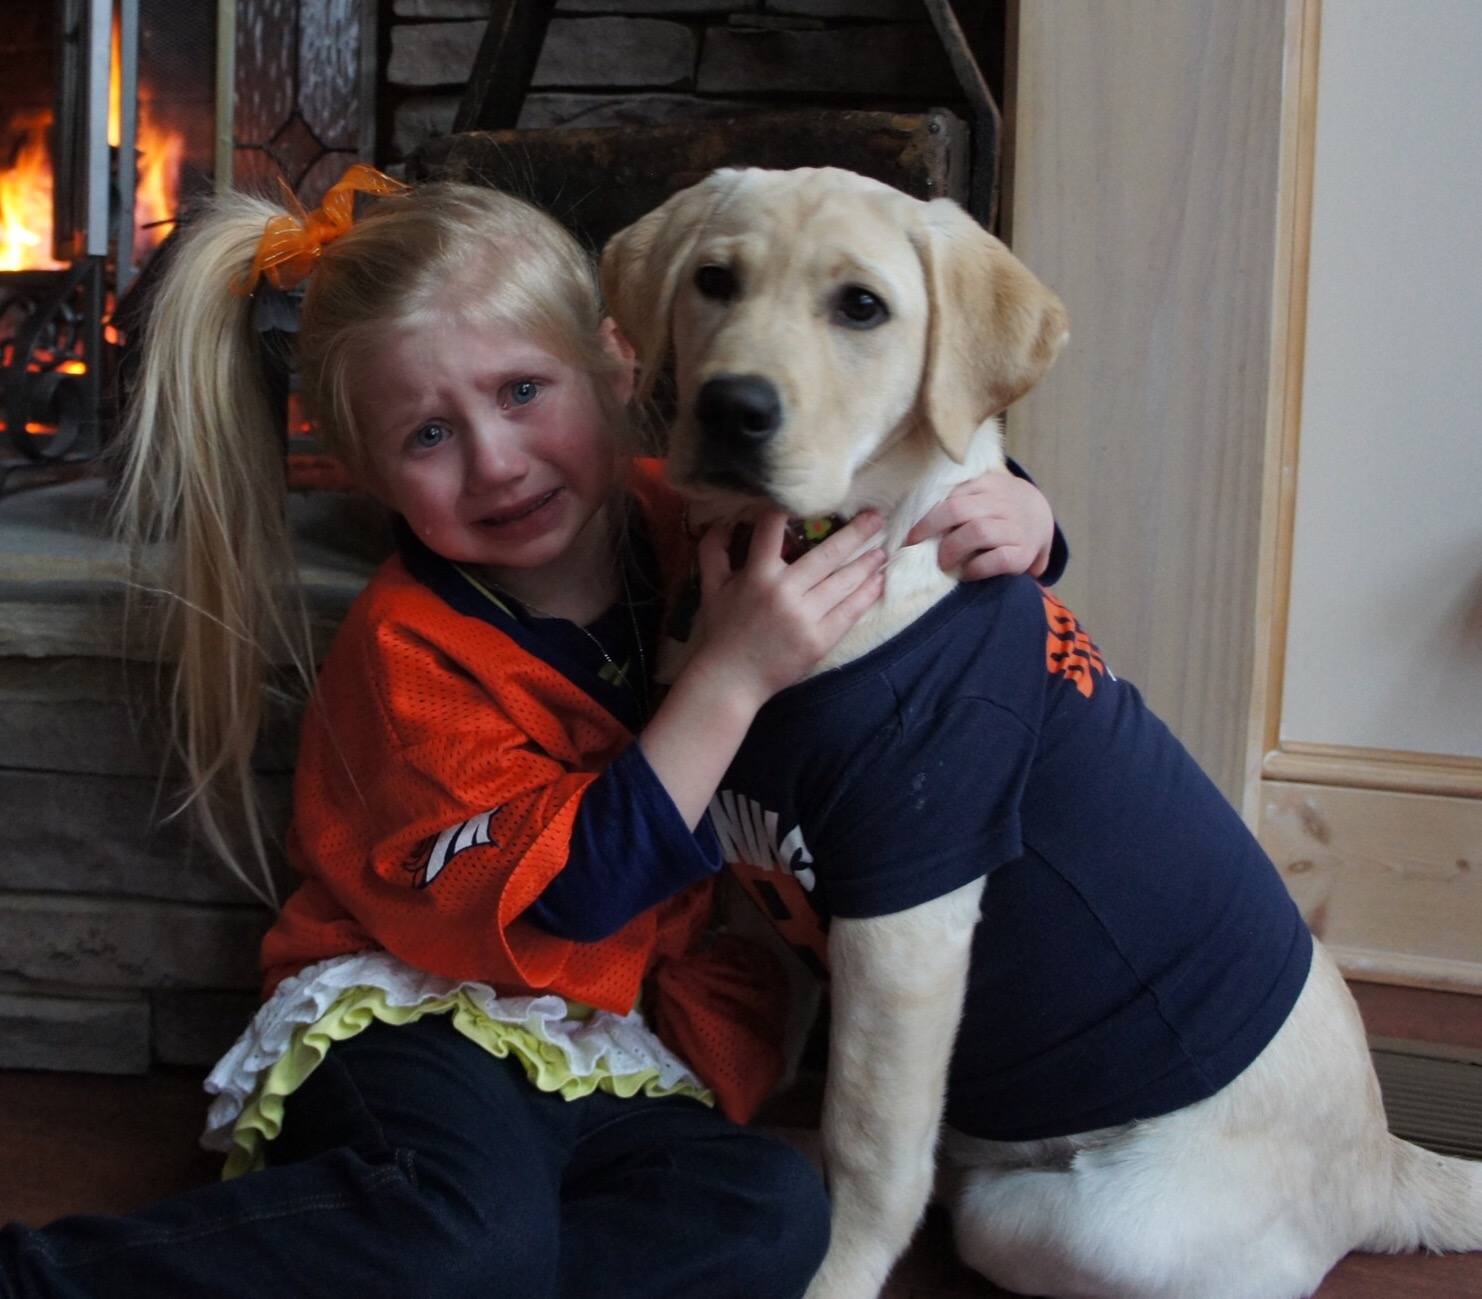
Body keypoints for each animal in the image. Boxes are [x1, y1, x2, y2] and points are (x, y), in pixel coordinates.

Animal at [600, 167, 1482, 1299]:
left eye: (861, 307)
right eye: (714, 280)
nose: (731, 407)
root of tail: (1384, 1164)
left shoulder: (908, 921)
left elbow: (868, 1146)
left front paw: (835, 1268)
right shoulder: (756, 881)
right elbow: (759, 1027)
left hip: (1070, 1221)